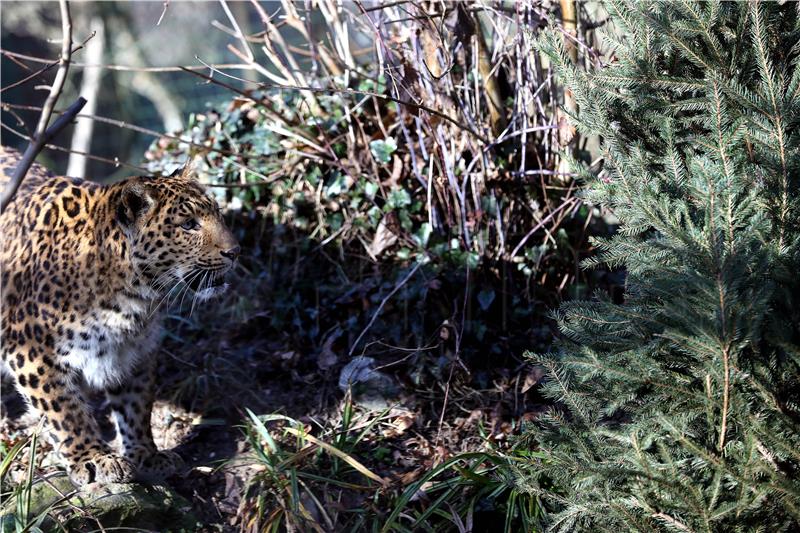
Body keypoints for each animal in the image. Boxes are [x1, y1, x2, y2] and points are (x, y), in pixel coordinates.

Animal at [0, 147, 239, 486]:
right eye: (189, 225)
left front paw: (146, 455)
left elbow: (136, 406)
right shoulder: (30, 351)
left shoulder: (134, 350)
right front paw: (92, 458)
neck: (133, 294)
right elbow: (66, 411)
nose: (235, 252)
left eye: (217, 213)